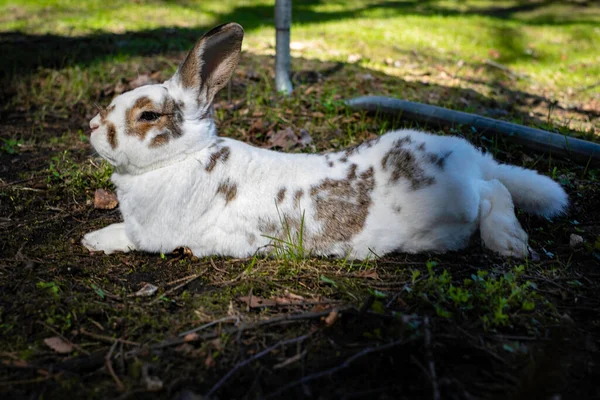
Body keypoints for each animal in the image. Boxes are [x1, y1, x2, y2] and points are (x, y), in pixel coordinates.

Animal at [82, 22, 568, 260]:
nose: (91, 125)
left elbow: (125, 236)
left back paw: (509, 243)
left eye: (147, 115)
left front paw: (92, 240)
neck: (181, 159)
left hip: (457, 202)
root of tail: (466, 156)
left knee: (495, 190)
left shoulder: (153, 236)